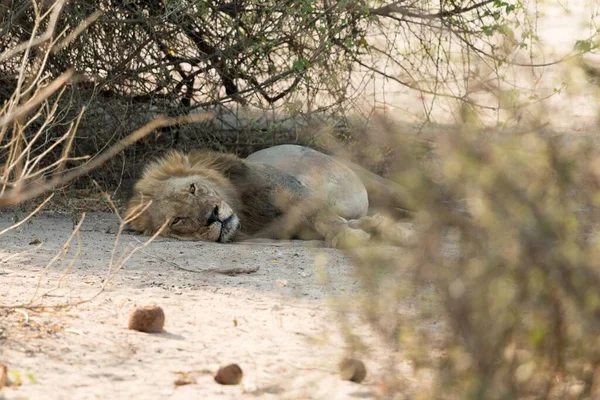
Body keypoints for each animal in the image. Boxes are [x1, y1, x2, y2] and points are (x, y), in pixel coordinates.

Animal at [124, 145, 410, 248]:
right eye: (176, 221)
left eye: (193, 188)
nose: (213, 217)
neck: (247, 215)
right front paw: (376, 228)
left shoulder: (292, 188)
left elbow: (324, 216)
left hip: (378, 183)